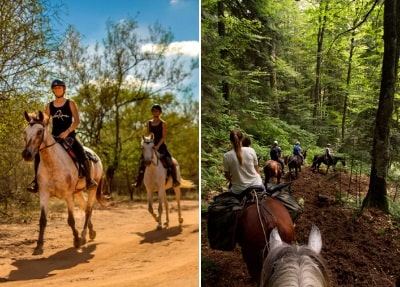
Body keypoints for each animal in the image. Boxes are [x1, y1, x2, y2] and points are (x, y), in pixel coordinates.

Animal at [21, 111, 108, 255]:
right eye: (25, 131)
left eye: (39, 131)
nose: (26, 154)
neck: (52, 163)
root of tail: (95, 155)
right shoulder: (44, 194)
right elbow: (42, 220)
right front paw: (38, 247)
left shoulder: (68, 195)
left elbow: (71, 220)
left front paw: (76, 240)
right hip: (78, 192)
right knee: (85, 208)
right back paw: (91, 232)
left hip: (92, 188)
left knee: (89, 209)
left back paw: (83, 235)